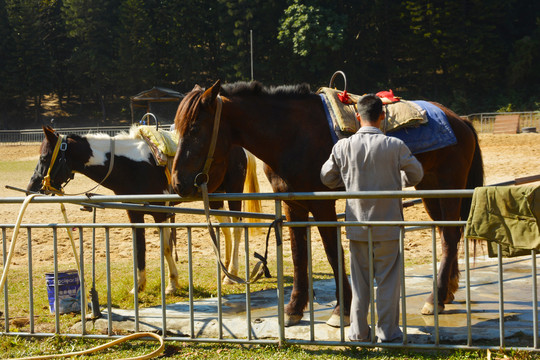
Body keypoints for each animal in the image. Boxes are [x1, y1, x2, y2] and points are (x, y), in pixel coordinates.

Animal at [28, 125, 262, 294]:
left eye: (44, 158)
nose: (32, 187)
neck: (131, 165)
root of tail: (240, 148)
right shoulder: (135, 213)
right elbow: (139, 247)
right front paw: (139, 286)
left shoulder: (160, 212)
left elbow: (166, 247)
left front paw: (171, 284)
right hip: (215, 196)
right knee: (225, 227)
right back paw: (225, 269)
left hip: (233, 192)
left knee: (236, 229)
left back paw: (231, 273)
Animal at [171, 81, 484, 326]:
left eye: (195, 128)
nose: (177, 183)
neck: (291, 135)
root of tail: (459, 120)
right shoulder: (293, 204)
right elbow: (299, 255)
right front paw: (294, 308)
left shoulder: (323, 204)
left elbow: (333, 251)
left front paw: (341, 309)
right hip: (430, 189)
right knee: (446, 233)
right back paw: (447, 291)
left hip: (449, 187)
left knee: (450, 237)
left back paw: (435, 297)